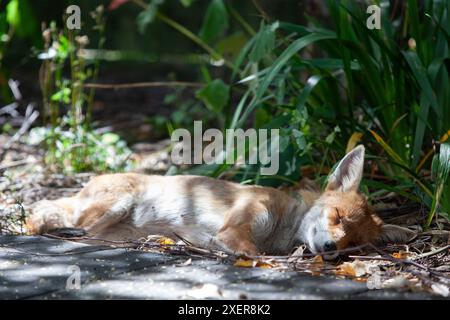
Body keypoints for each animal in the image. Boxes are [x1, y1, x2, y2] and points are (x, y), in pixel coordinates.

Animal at [24, 145, 412, 258]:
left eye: (354, 244)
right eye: (336, 216)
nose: (331, 249)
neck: (280, 231)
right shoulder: (238, 225)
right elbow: (253, 253)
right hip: (113, 205)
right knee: (64, 225)